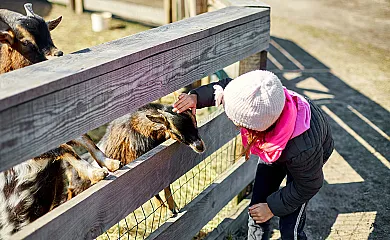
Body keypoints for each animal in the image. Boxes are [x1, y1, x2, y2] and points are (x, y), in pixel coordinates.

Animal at [0, 3, 120, 238]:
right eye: (25, 41)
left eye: (49, 33)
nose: (58, 55)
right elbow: (64, 147)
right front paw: (95, 172)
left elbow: (81, 136)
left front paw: (109, 162)